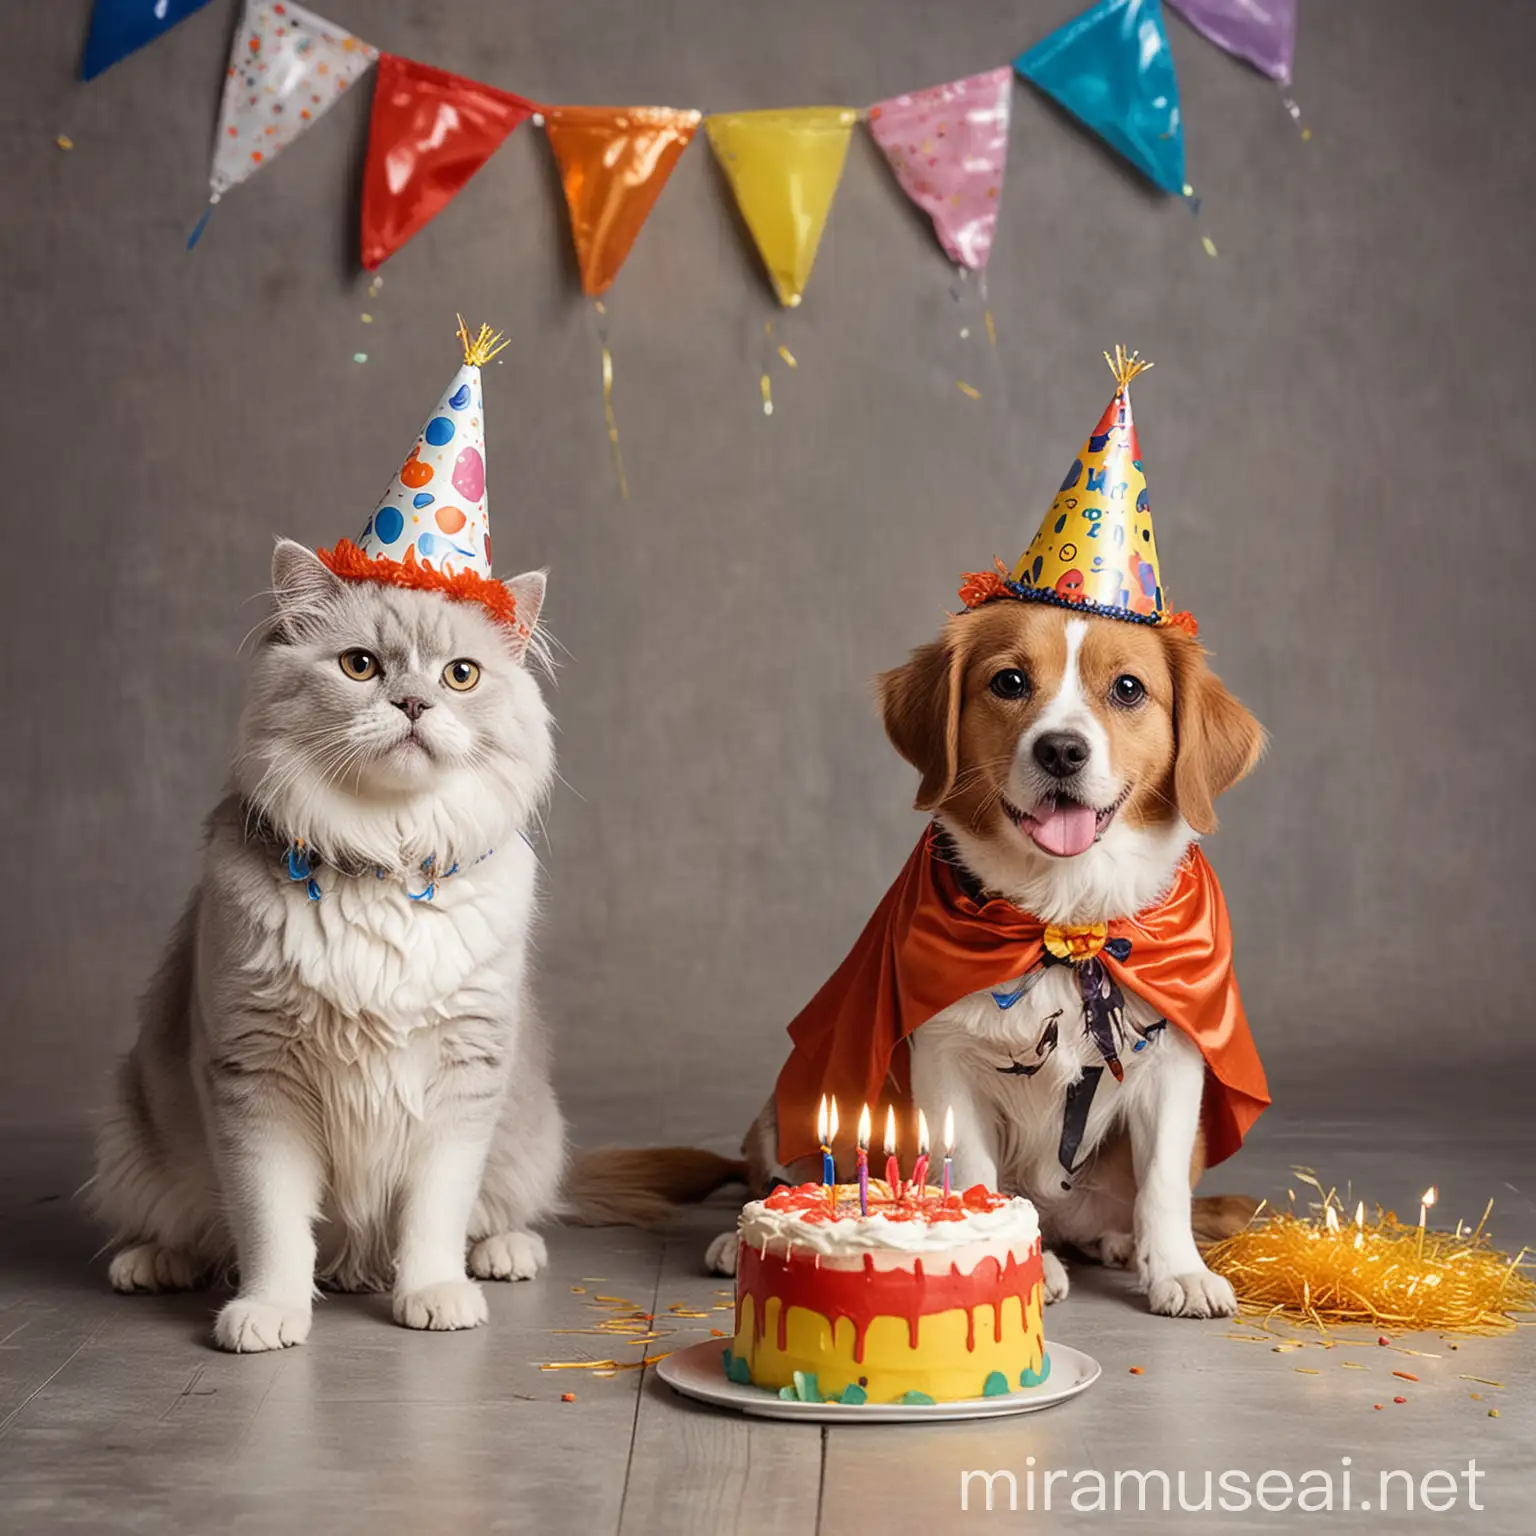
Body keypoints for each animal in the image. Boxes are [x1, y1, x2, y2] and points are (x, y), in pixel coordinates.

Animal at [91, 543, 571, 1357]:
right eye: (359, 666)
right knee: (186, 1229)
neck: (383, 862)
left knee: (495, 1216)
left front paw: (434, 1295)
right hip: (132, 1128)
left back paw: (505, 1253)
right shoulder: (254, 1078)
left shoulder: (464, 1078)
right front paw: (269, 1312)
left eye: (461, 675)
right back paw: (154, 1263)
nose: (413, 706)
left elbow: (436, 1214)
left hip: (534, 1135)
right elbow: (271, 1224)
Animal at [703, 599, 1259, 1320]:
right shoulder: (945, 1058)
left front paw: (1178, 1271)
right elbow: (969, 1167)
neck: (1061, 919)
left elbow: (1162, 1184)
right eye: (1009, 682)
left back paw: (1113, 1243)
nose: (1061, 749)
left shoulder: (1176, 1062)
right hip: (788, 1100)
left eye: (1128, 689)